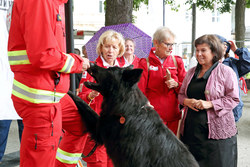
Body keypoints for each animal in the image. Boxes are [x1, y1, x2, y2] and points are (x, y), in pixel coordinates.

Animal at [68, 63, 197, 167]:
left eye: (109, 70)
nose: (90, 64)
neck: (128, 112)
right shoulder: (100, 128)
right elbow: (85, 105)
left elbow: (84, 104)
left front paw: (69, 93)